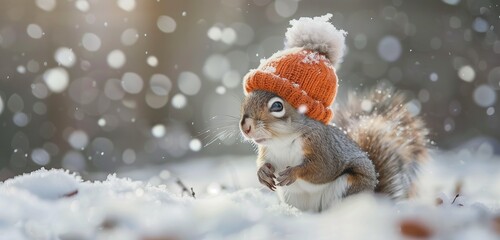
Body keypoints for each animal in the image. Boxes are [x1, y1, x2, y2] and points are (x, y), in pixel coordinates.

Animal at [238, 14, 430, 212]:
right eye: (246, 100)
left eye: (277, 106)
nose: (245, 127)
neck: (282, 141)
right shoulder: (267, 151)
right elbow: (262, 162)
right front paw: (262, 173)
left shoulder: (323, 148)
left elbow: (322, 169)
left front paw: (293, 172)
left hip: (348, 185)